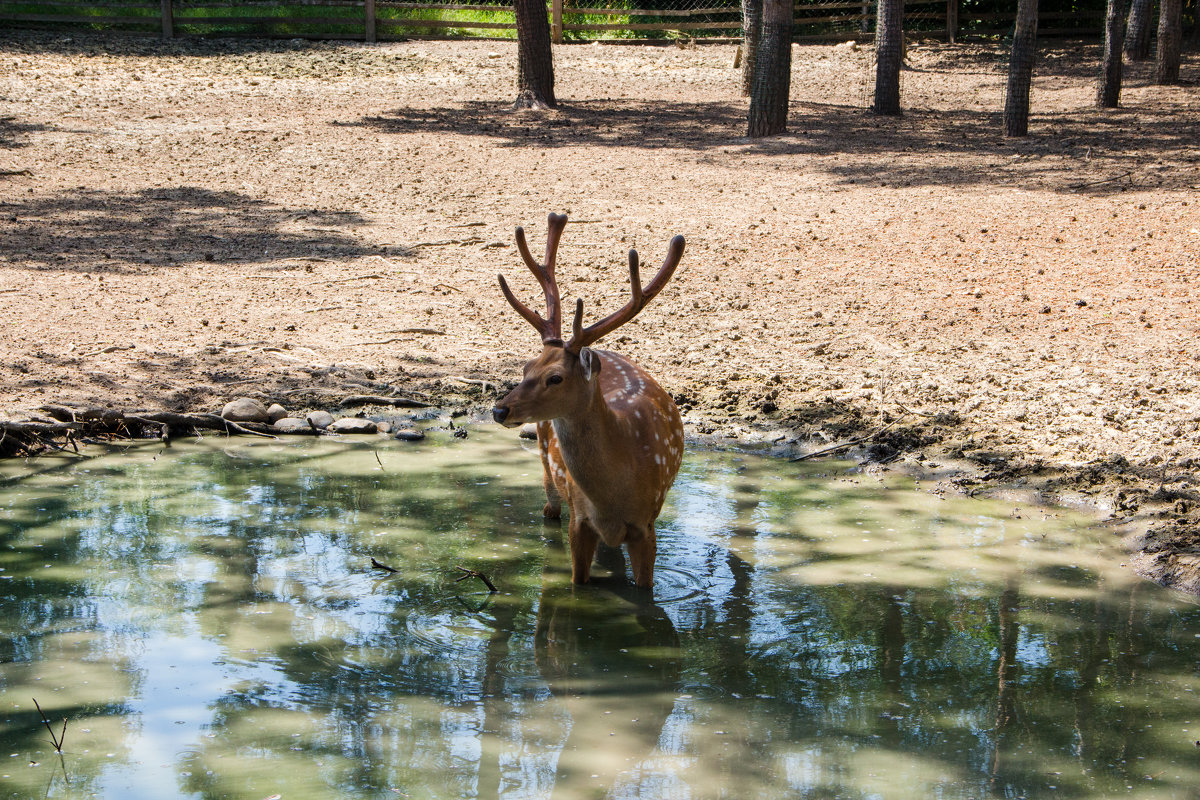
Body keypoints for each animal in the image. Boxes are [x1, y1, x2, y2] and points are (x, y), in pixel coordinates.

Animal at [492, 215, 686, 592]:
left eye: (555, 378)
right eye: (526, 367)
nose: (499, 409)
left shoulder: (646, 525)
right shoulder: (579, 522)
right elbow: (577, 583)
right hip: (548, 472)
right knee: (549, 507)